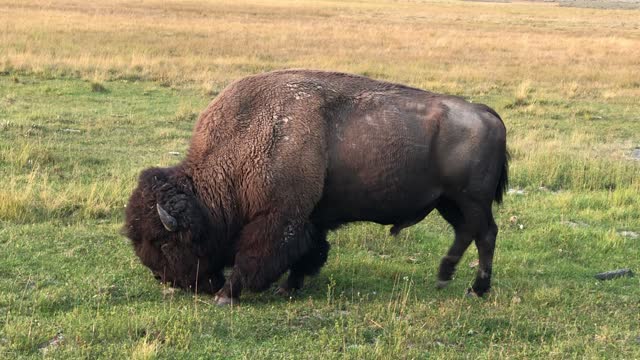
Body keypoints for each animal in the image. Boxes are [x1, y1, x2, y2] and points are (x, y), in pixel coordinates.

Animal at [122, 69, 508, 306]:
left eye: (164, 242)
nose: (162, 278)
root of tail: (486, 113)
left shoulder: (279, 217)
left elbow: (255, 255)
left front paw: (228, 295)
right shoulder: (310, 217)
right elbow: (309, 252)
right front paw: (288, 286)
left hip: (470, 200)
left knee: (484, 234)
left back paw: (471, 287)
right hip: (448, 202)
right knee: (470, 233)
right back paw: (451, 280)